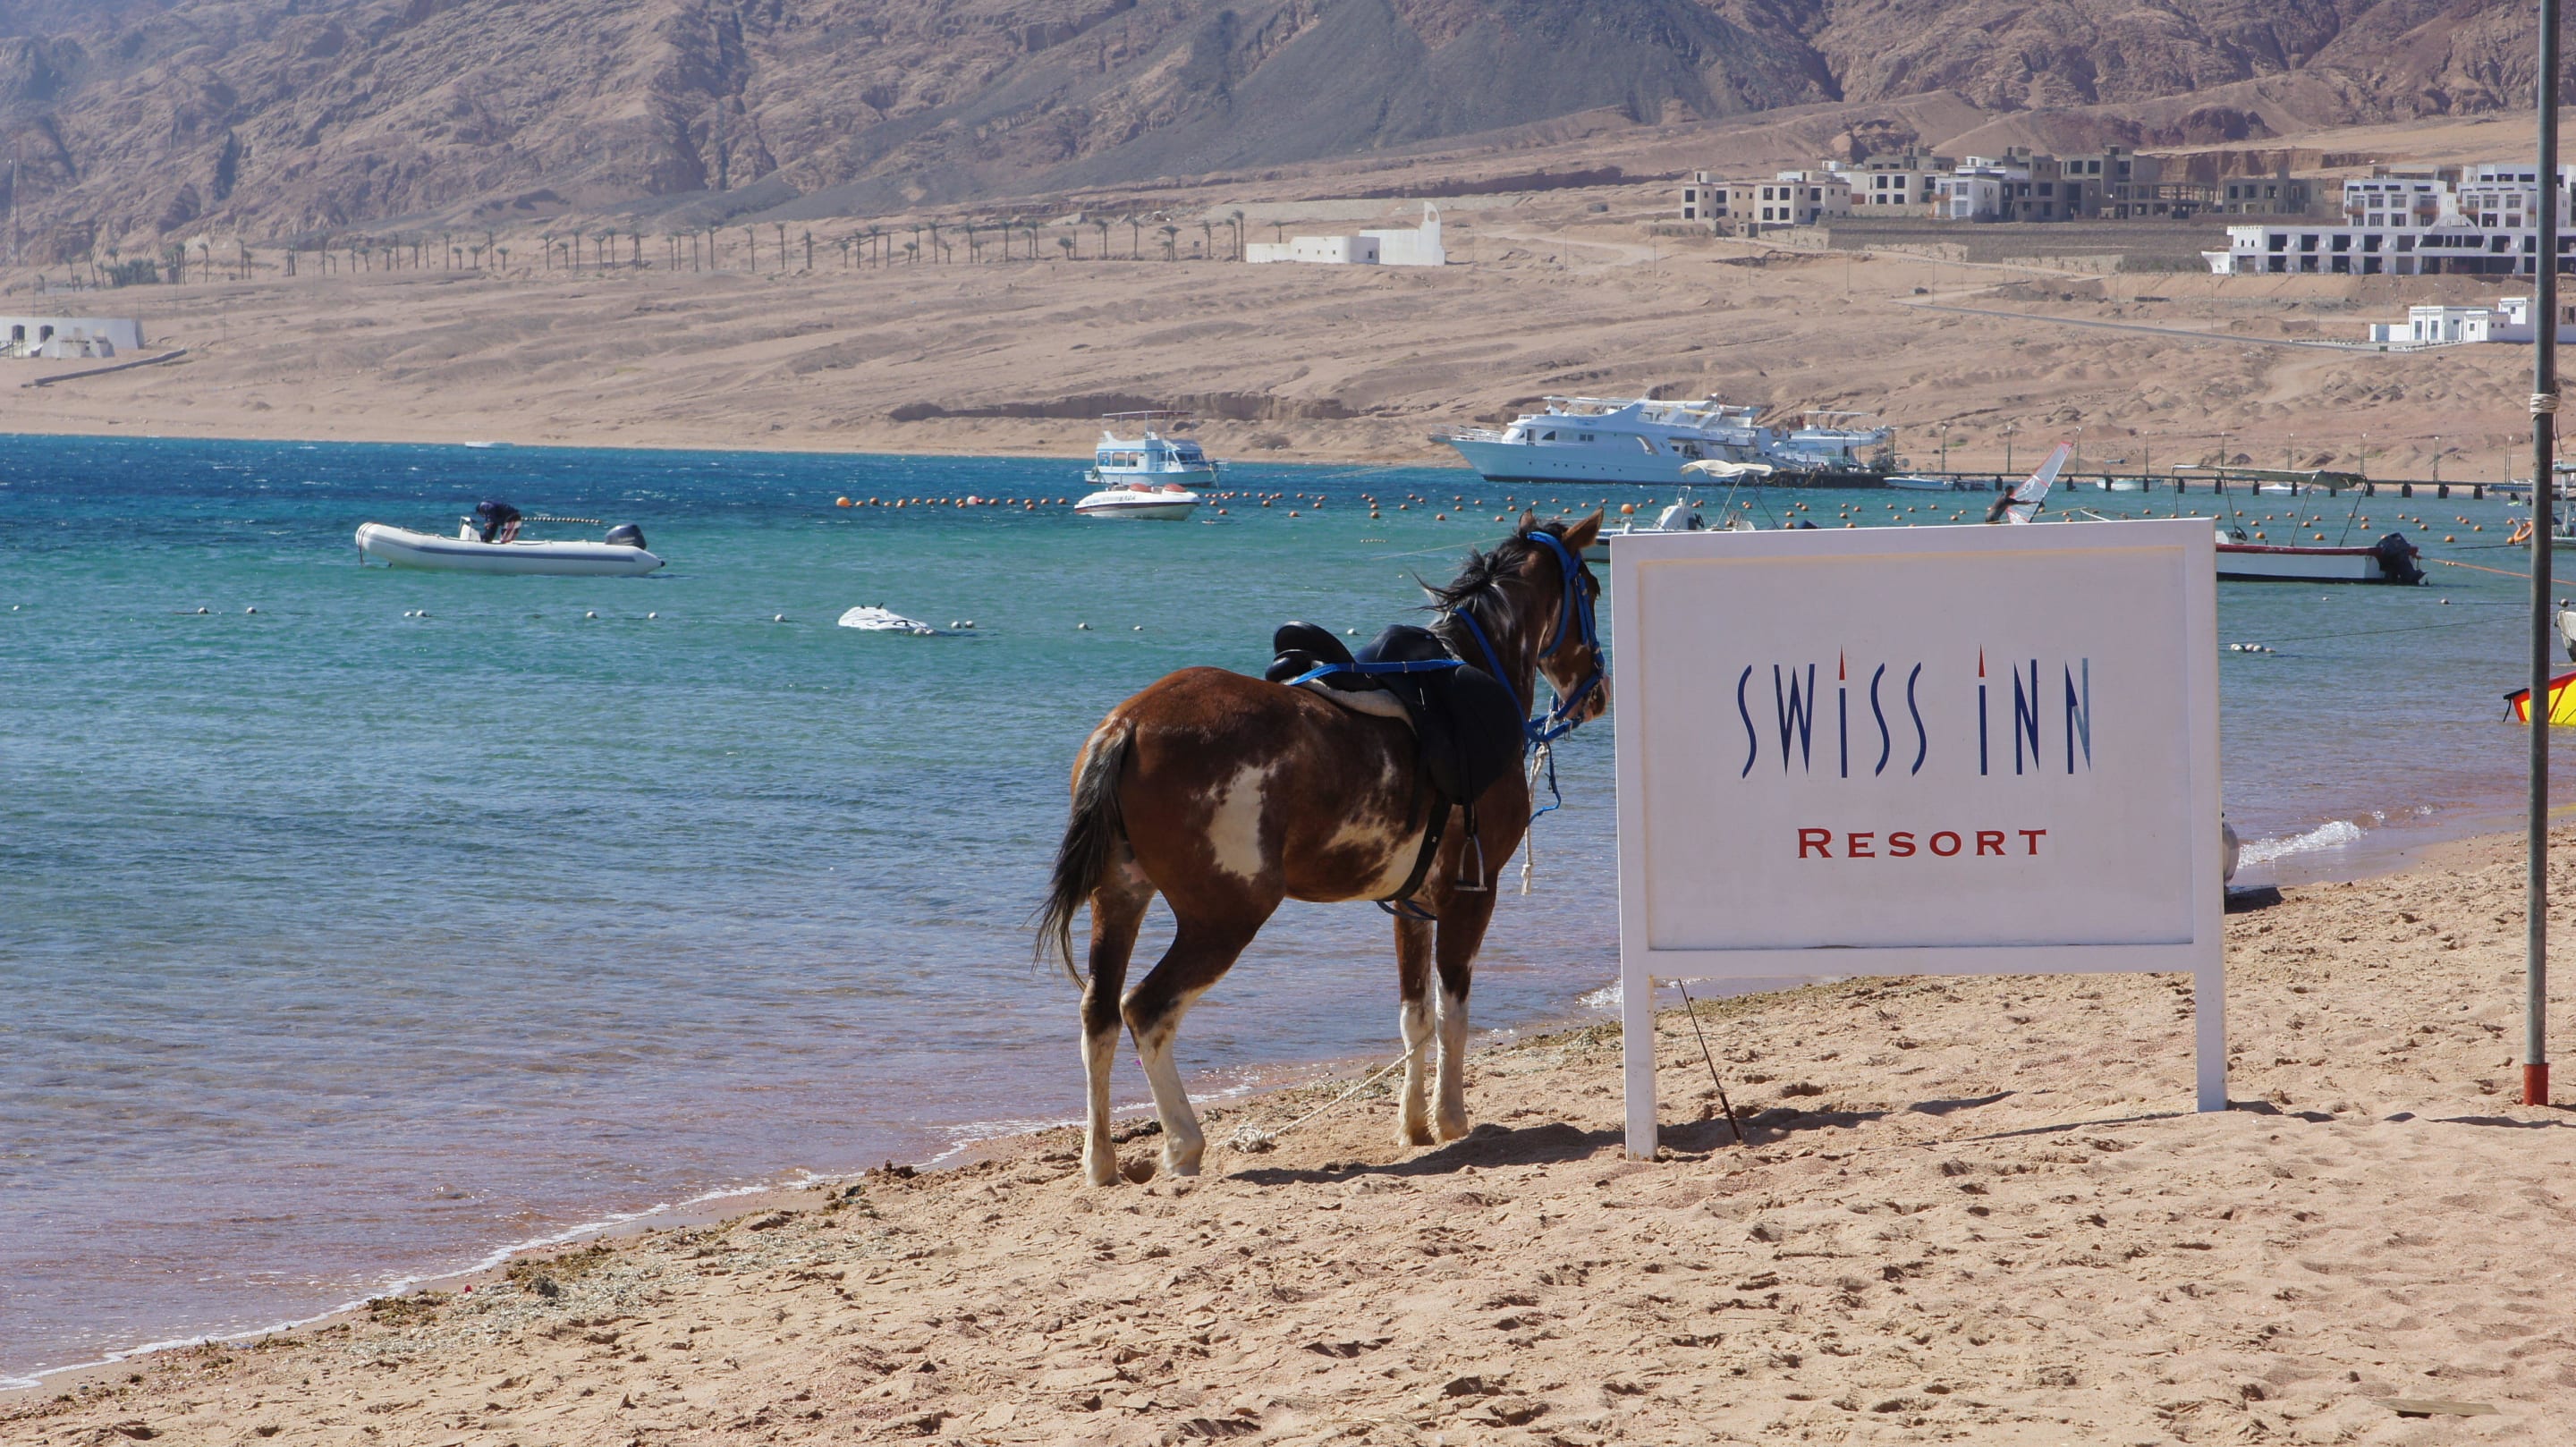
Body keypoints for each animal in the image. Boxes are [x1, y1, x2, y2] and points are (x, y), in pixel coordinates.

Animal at [1036, 511, 1607, 1187]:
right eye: (1592, 590)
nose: (1598, 691)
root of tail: (1128, 724)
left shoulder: (1412, 904)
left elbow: (1414, 1015)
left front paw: (1413, 1124)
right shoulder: (1472, 893)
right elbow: (1452, 1012)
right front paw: (1450, 1119)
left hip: (1120, 898)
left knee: (1098, 1015)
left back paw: (1100, 1162)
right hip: (1223, 919)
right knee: (1146, 1011)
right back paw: (1182, 1144)